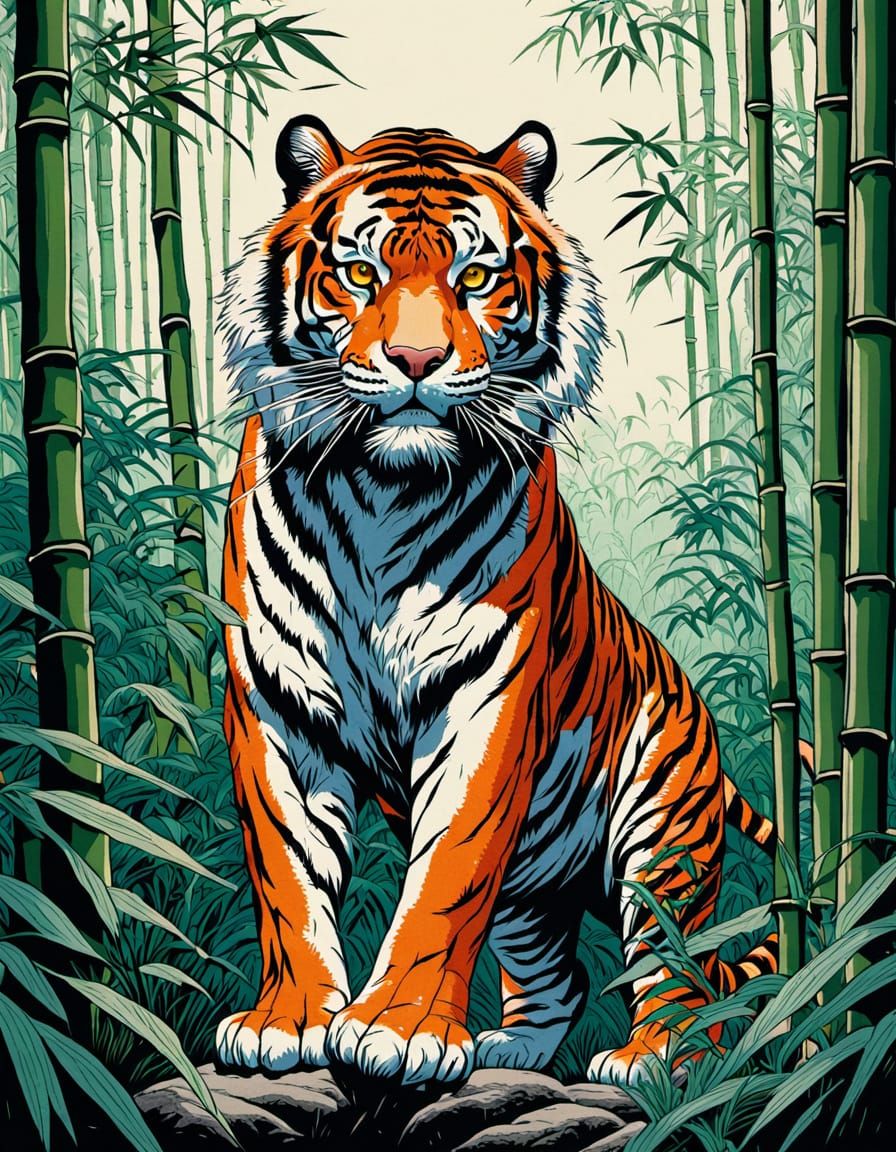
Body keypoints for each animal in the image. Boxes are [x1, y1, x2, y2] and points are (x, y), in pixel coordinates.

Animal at [214, 115, 777, 1088]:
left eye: (475, 278)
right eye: (360, 272)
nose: (415, 361)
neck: (384, 492)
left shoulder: (489, 694)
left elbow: (445, 874)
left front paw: (399, 1031)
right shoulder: (276, 699)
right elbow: (289, 876)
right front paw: (288, 1023)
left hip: (658, 830)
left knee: (678, 968)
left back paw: (654, 1058)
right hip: (535, 886)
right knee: (562, 974)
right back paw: (508, 1047)